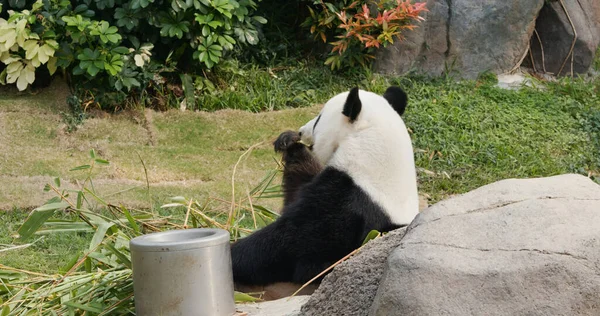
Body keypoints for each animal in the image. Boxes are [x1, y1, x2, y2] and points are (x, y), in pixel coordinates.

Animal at [230, 85, 418, 286]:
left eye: (319, 119)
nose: (301, 131)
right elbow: (298, 188)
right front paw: (289, 142)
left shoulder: (347, 201)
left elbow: (286, 244)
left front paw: (233, 255)